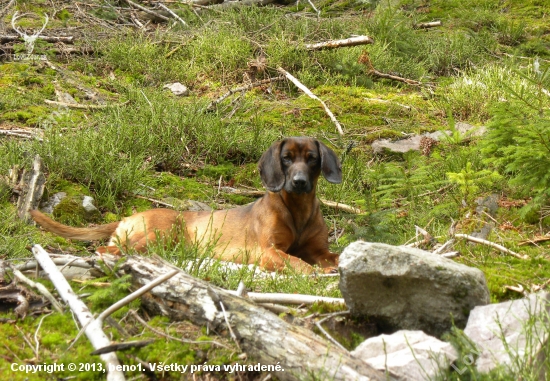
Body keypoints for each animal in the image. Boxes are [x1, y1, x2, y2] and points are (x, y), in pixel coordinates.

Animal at [30, 137, 342, 274]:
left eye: (312, 158)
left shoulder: (320, 251)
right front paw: (317, 273)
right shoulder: (269, 251)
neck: (297, 210)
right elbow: (297, 262)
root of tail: (126, 218)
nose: (299, 182)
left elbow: (334, 256)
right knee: (109, 250)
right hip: (162, 234)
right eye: (286, 158)